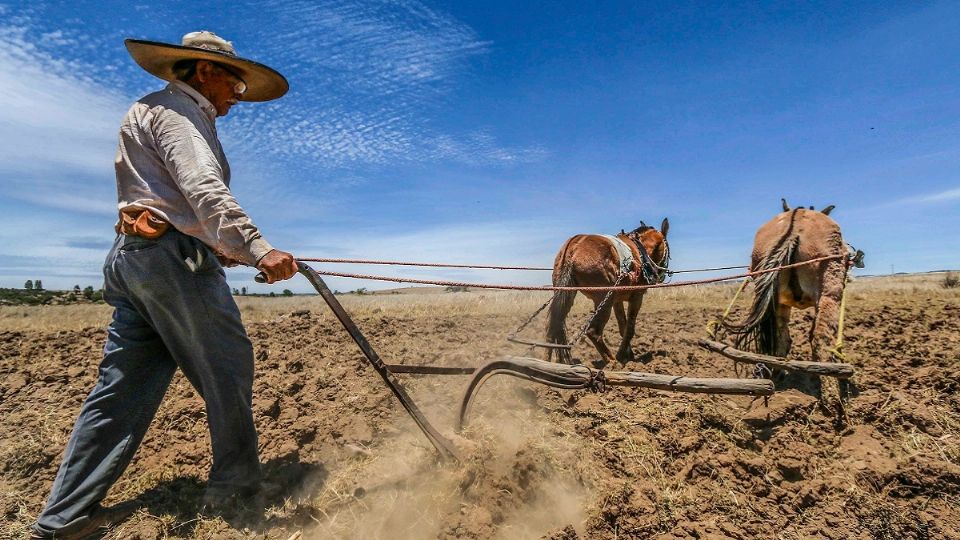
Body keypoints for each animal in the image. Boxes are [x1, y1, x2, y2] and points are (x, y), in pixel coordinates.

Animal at [544, 217, 672, 364]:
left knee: (552, 327)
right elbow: (629, 329)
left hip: (568, 294)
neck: (640, 251)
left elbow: (623, 327)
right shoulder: (637, 296)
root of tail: (573, 246)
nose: (661, 275)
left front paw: (629, 355)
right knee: (593, 331)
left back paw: (545, 362)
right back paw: (612, 361)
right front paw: (622, 356)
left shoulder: (617, 300)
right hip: (604, 299)